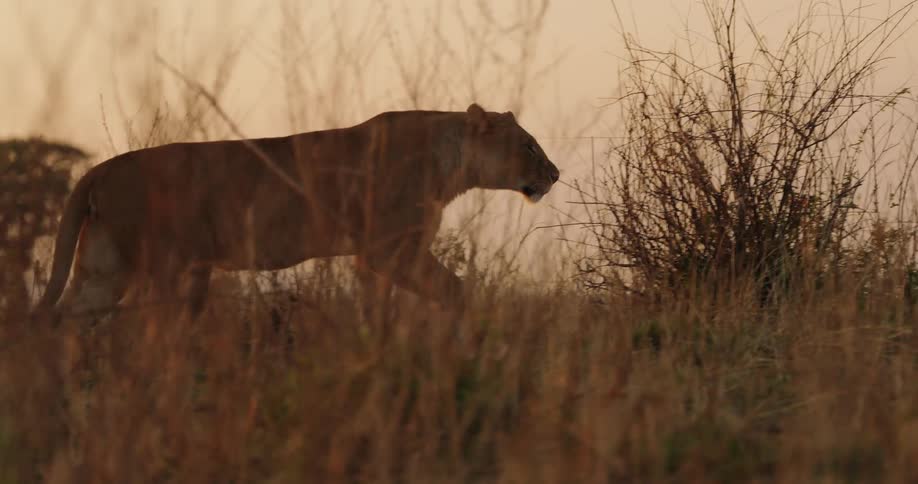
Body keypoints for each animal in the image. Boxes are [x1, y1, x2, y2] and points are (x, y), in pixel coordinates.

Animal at [33, 103, 560, 318]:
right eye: (529, 146)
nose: (555, 174)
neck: (450, 164)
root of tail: (102, 167)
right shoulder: (390, 250)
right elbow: (456, 290)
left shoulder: (377, 258)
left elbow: (380, 304)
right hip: (167, 266)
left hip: (105, 268)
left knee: (68, 317)